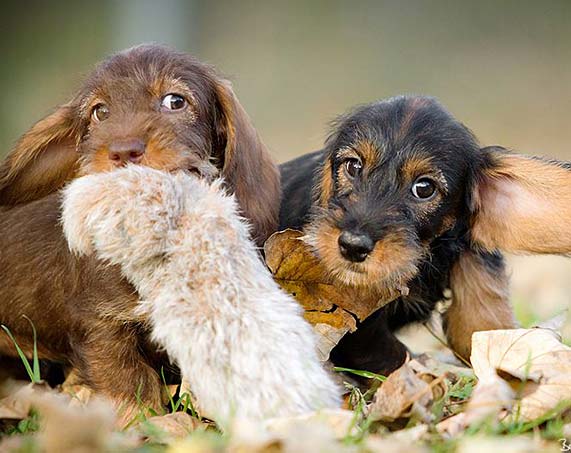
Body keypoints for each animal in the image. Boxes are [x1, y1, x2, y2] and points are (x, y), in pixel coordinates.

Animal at [0, 44, 280, 414]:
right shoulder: (100, 323)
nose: (122, 151)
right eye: (100, 112)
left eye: (175, 101)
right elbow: (129, 378)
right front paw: (141, 419)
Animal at [280, 96, 571, 378]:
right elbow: (396, 358)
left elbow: (483, 316)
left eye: (424, 188)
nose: (352, 246)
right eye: (353, 166)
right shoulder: (360, 330)